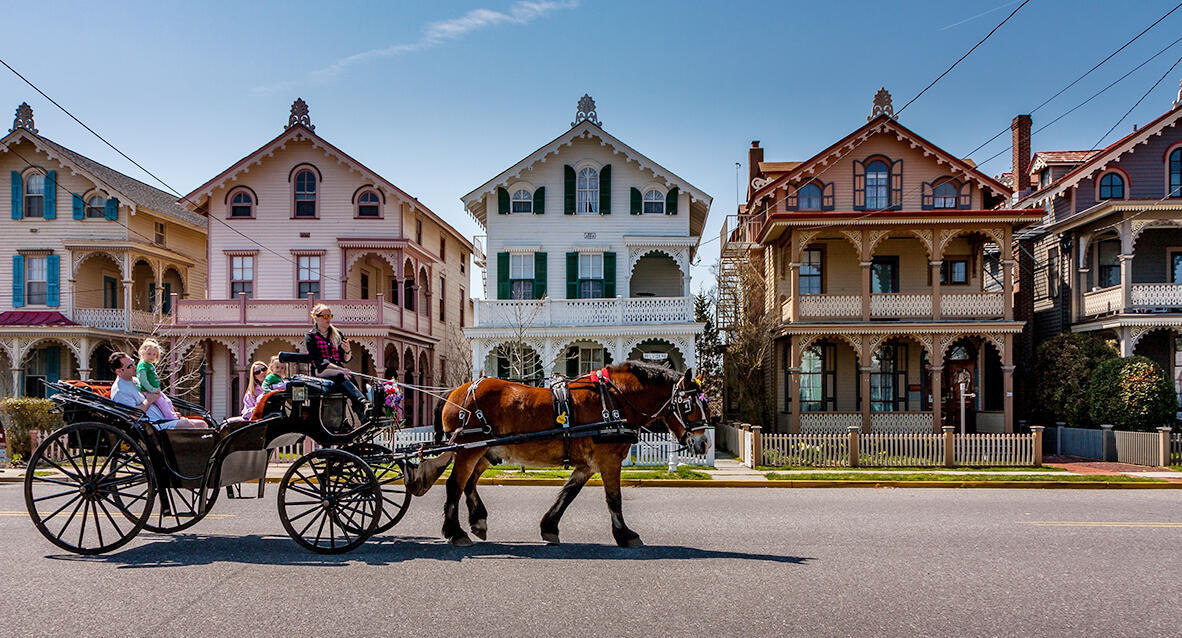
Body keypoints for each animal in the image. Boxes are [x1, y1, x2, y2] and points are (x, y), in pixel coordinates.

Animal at [408, 361, 709, 545]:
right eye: (689, 405)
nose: (704, 443)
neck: (614, 401)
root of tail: (454, 392)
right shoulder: (609, 459)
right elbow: (614, 499)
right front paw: (625, 535)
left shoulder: (588, 465)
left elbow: (567, 494)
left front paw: (549, 526)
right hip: (469, 450)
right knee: (454, 485)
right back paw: (455, 532)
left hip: (483, 451)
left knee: (469, 484)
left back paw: (478, 521)